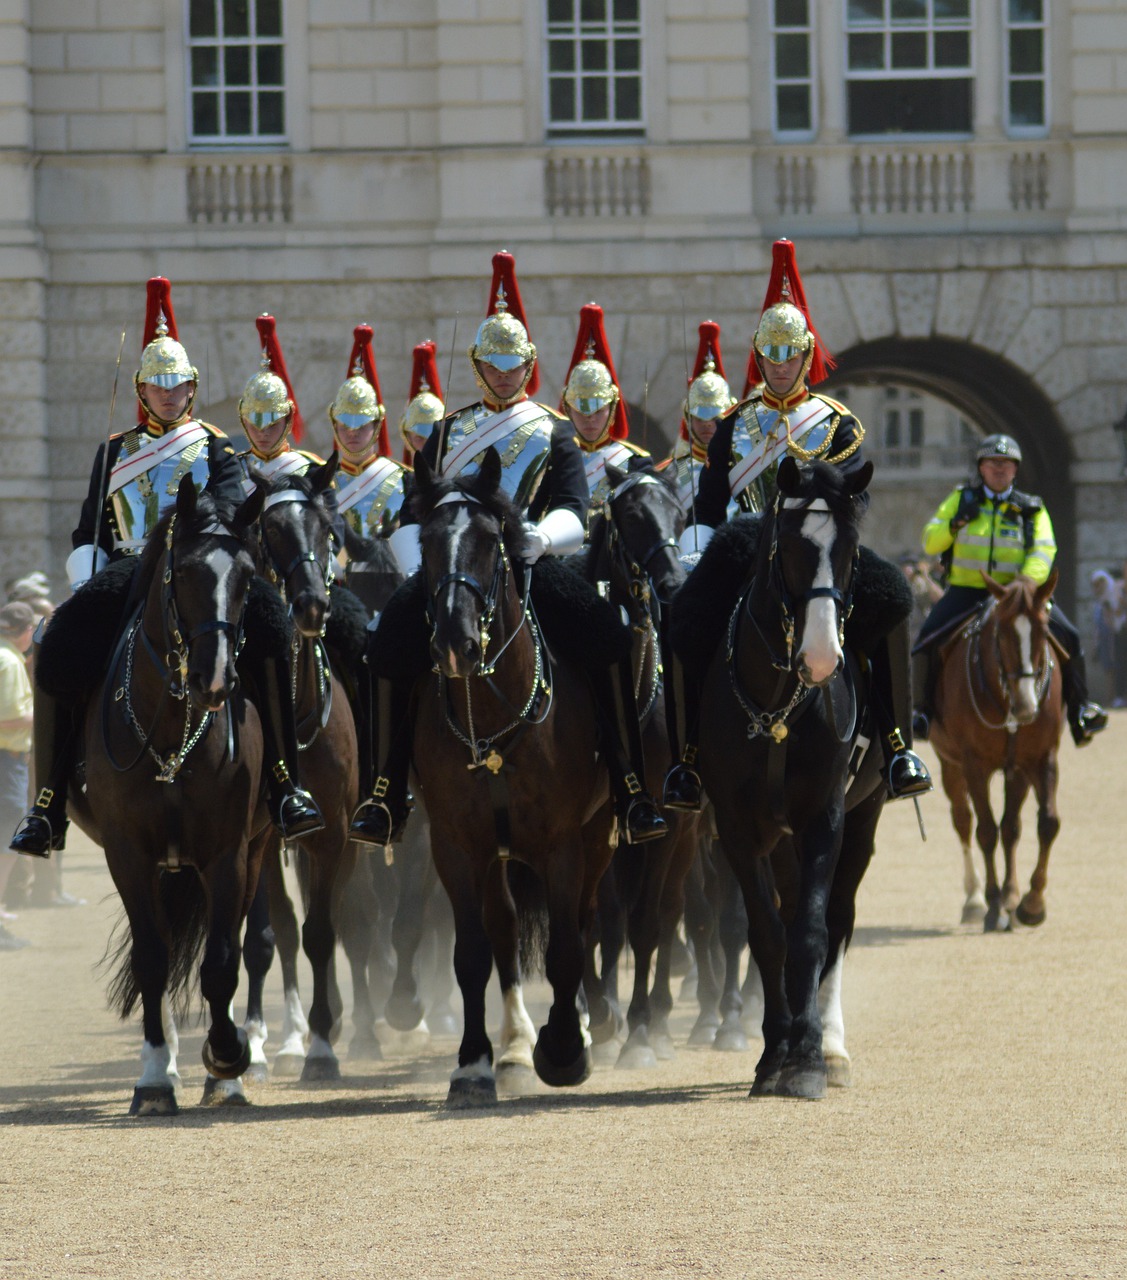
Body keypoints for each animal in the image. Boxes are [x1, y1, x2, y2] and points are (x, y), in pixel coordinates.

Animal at [67, 477, 267, 1115]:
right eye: (184, 571)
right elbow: (153, 958)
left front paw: (227, 1059)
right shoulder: (128, 854)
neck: (171, 733)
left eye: (249, 575)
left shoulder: (228, 853)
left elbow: (222, 960)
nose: (216, 680)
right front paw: (155, 1077)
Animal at [409, 447, 616, 1106]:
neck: (491, 721)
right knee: (503, 928)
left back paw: (573, 1028)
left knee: (582, 920)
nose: (455, 641)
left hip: (598, 833)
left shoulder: (562, 842)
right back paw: (516, 1044)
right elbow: (473, 953)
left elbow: (566, 946)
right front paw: (473, 1064)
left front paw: (566, 1049)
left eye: (489, 539)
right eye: (425, 541)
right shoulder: (455, 845)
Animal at [695, 456, 889, 1100]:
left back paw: (831, 1045)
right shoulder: (735, 827)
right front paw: (776, 1052)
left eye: (851, 548)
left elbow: (811, 931)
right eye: (790, 547)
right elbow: (767, 933)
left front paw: (806, 1057)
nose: (823, 659)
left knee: (839, 918)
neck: (779, 704)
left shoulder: (825, 817)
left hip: (863, 818)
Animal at [930, 570, 1064, 931]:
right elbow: (985, 830)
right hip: (951, 764)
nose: (1026, 707)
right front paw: (991, 905)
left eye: (1044, 630)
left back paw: (1011, 898)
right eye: (1001, 634)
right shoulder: (974, 765)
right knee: (964, 821)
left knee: (1011, 828)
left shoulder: (1039, 759)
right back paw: (975, 899)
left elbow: (1045, 823)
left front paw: (1030, 904)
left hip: (1015, 771)